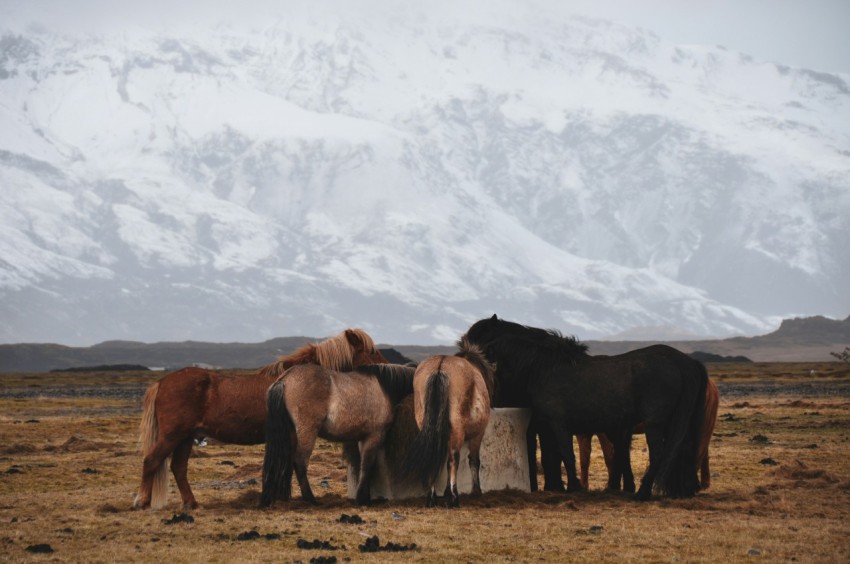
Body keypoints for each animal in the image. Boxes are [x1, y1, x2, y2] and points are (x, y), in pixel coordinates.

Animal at [133, 328, 388, 508]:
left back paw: (191, 503)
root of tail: (162, 382)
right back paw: (142, 501)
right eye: (371, 350)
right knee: (152, 460)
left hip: (186, 437)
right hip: (173, 435)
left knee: (178, 468)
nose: (387, 368)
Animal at [262, 364, 414, 508]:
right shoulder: (374, 436)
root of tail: (284, 380)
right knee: (299, 462)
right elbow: (367, 466)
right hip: (307, 432)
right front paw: (363, 500)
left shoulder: (363, 438)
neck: (384, 388)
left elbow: (363, 465)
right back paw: (311, 500)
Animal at [400, 338, 494, 508]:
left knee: (433, 457)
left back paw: (431, 498)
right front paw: (475, 491)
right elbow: (474, 460)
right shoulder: (478, 434)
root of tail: (440, 367)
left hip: (426, 424)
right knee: (453, 458)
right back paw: (454, 498)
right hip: (457, 427)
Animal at [460, 316, 704, 500]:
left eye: (476, 343)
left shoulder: (558, 426)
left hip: (655, 424)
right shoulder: (548, 429)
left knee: (659, 455)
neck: (543, 368)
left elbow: (567, 456)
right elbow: (555, 458)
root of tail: (684, 363)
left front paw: (574, 488)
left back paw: (643, 493)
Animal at [572, 376, 720, 492]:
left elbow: (608, 457)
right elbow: (585, 459)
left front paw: (610, 486)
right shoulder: (585, 433)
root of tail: (711, 384)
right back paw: (703, 483)